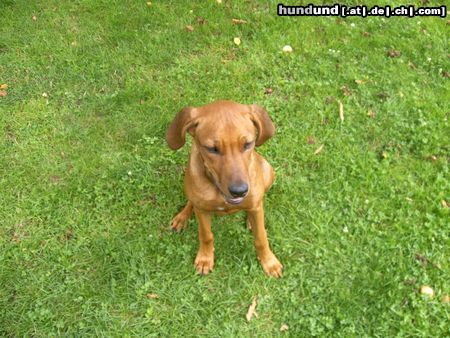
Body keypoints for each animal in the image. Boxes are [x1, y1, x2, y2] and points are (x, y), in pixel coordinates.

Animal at [167, 99, 284, 278]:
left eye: (247, 144)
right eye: (212, 149)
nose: (239, 191)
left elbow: (261, 238)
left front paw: (269, 262)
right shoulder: (202, 211)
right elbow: (206, 235)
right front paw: (205, 259)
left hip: (268, 170)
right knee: (191, 202)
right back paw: (182, 217)